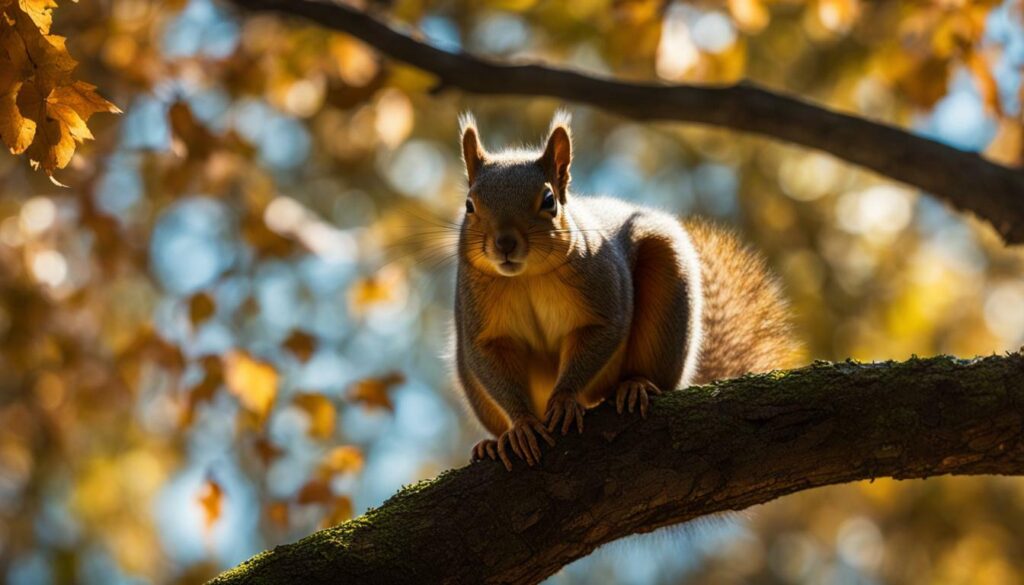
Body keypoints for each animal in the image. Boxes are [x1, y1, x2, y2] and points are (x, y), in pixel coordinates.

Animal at [454, 113, 798, 471]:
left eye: (549, 201)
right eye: (469, 205)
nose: (505, 243)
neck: (526, 277)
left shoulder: (605, 291)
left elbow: (602, 333)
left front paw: (563, 399)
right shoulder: (479, 321)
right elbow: (487, 357)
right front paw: (521, 424)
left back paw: (635, 385)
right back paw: (492, 444)